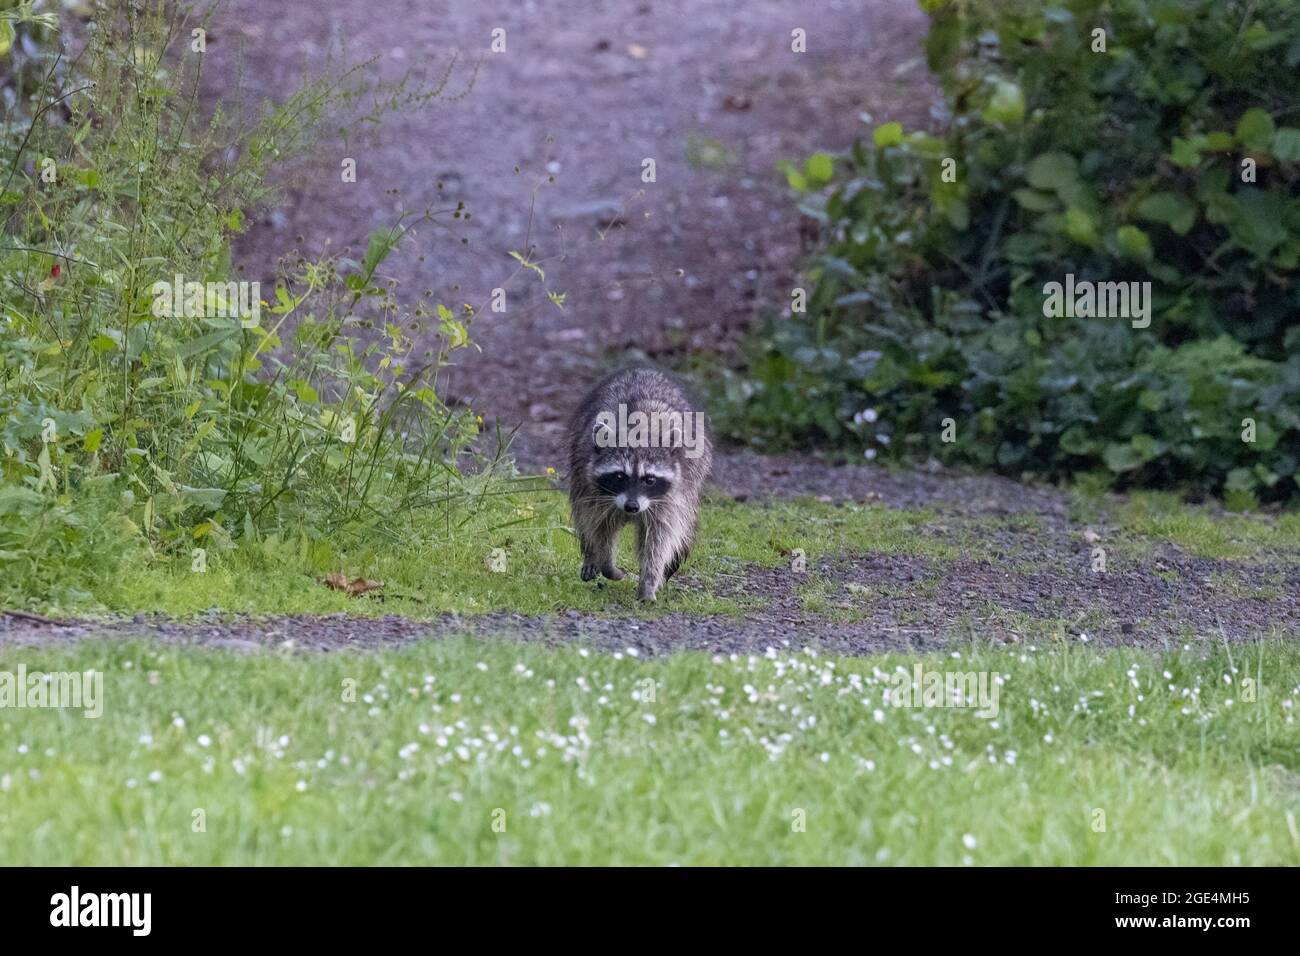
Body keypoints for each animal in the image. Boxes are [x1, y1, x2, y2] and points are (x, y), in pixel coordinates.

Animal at [566, 367, 712, 602]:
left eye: (649, 479)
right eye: (619, 477)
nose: (632, 507)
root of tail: (643, 370)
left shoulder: (672, 496)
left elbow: (658, 540)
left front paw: (649, 580)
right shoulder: (591, 487)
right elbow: (599, 527)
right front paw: (606, 562)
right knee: (584, 518)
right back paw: (590, 554)